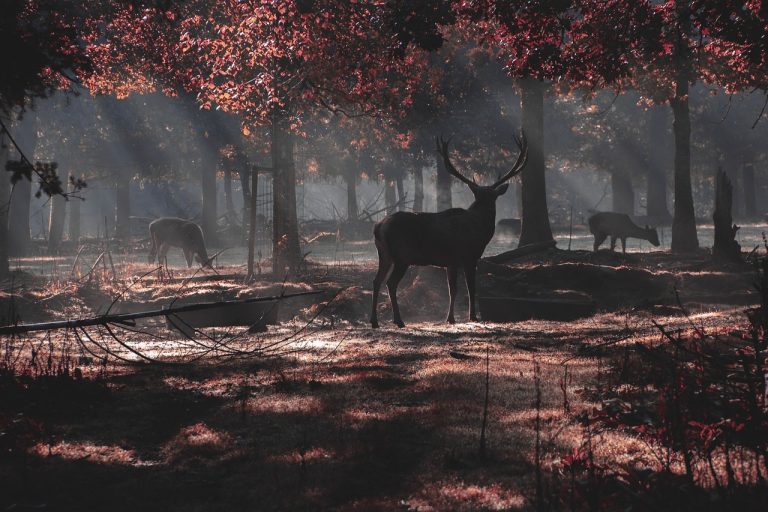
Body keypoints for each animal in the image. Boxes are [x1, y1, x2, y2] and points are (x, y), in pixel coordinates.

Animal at [370, 132, 528, 328]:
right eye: (493, 197)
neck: (481, 229)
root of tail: (379, 226)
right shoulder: (470, 257)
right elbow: (470, 288)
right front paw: (473, 316)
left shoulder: (450, 262)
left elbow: (452, 290)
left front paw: (450, 318)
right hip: (402, 255)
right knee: (390, 283)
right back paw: (398, 320)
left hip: (384, 255)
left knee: (376, 280)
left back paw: (374, 321)